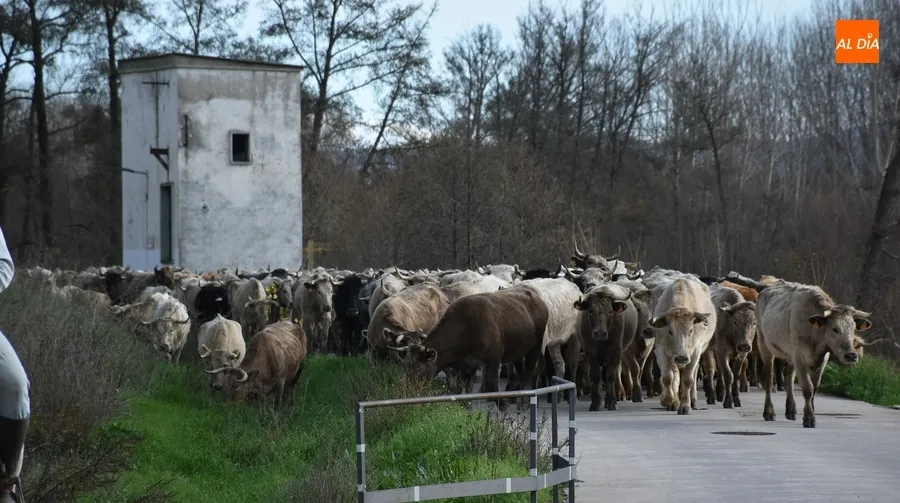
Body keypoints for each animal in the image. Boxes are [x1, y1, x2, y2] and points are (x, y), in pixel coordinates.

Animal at [390, 288, 549, 410]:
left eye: (419, 367)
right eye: (406, 366)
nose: (409, 390)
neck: (465, 328)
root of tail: (539, 301)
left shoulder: (493, 359)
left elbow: (491, 384)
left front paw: (502, 404)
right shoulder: (467, 363)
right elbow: (464, 386)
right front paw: (466, 404)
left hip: (535, 350)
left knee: (529, 373)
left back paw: (524, 402)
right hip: (517, 354)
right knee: (521, 373)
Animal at [574, 283, 637, 411]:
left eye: (611, 312)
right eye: (591, 311)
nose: (600, 333)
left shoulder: (615, 351)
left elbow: (611, 375)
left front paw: (612, 402)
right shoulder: (590, 352)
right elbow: (596, 376)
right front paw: (595, 403)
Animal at [645, 277, 717, 415]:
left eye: (691, 330)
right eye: (669, 331)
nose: (681, 357)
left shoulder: (695, 352)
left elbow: (688, 379)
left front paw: (685, 406)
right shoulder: (662, 350)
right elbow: (668, 377)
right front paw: (668, 400)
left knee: (692, 375)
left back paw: (692, 400)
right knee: (675, 374)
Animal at [756, 279, 871, 428]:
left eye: (853, 329)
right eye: (834, 329)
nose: (851, 355)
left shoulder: (822, 359)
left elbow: (814, 387)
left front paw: (810, 412)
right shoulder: (800, 356)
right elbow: (807, 388)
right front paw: (809, 418)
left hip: (790, 354)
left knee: (789, 377)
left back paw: (791, 410)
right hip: (764, 345)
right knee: (769, 379)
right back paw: (769, 412)